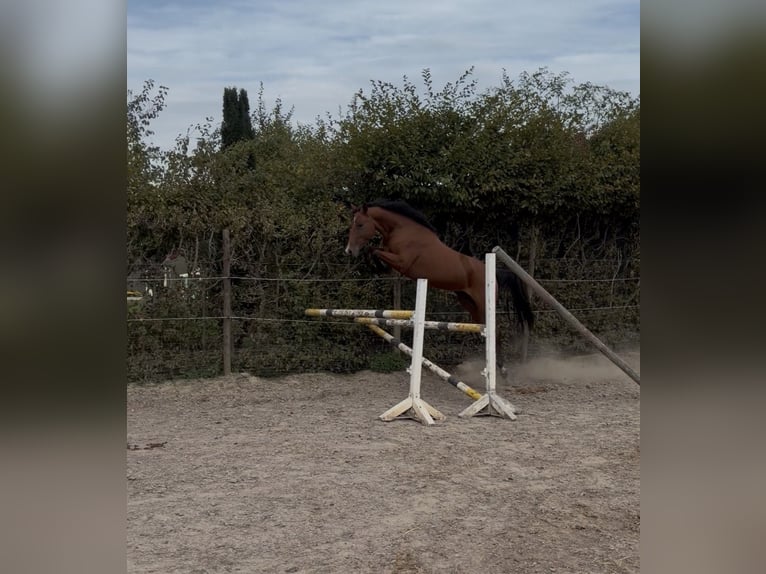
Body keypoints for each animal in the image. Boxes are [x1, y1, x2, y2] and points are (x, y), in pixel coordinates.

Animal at [344, 199, 534, 371]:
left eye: (360, 225)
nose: (349, 251)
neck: (402, 231)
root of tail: (492, 272)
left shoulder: (402, 263)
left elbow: (374, 250)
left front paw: (375, 265)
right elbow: (373, 251)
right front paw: (375, 266)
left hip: (483, 303)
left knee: (496, 330)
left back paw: (502, 369)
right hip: (469, 304)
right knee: (487, 329)